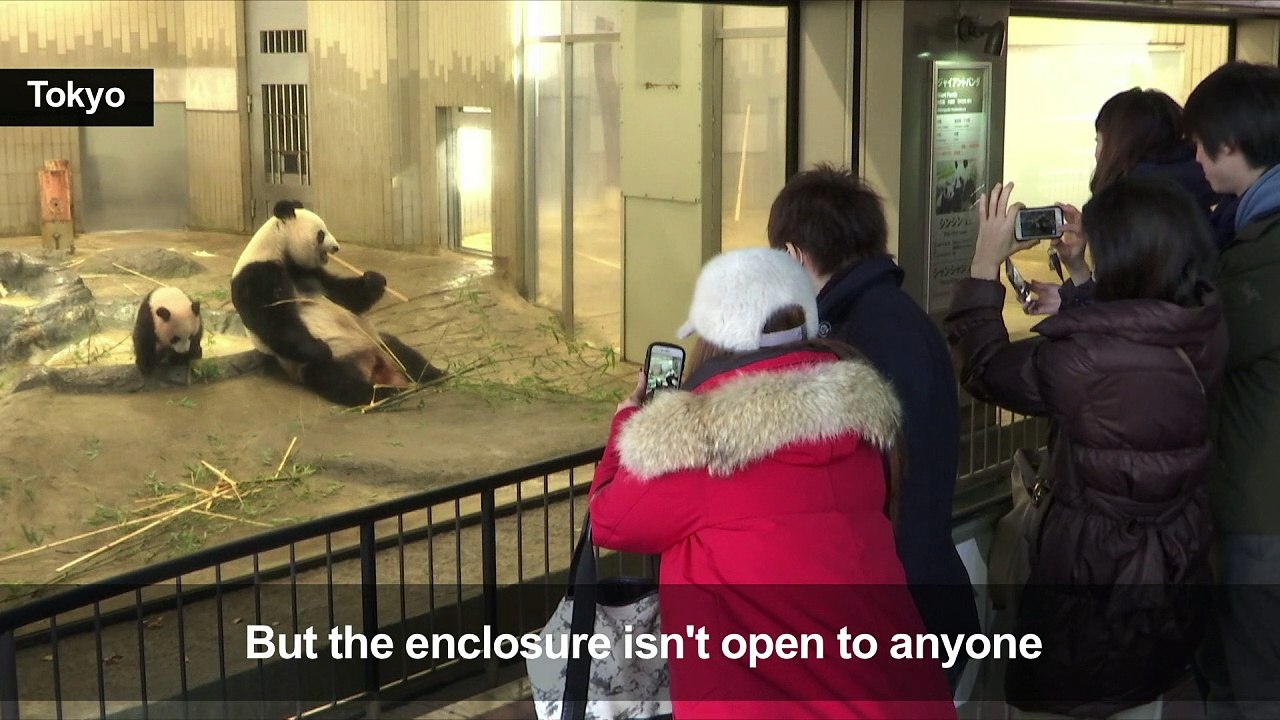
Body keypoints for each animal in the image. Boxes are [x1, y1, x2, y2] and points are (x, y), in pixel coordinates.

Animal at [230, 200, 443, 406]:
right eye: (320, 234)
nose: (336, 248)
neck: (276, 249)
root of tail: (373, 365)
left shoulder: (310, 273)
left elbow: (342, 296)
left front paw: (374, 281)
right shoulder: (256, 277)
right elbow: (275, 322)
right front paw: (320, 348)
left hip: (379, 343)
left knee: (403, 353)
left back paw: (435, 375)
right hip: (318, 364)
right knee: (336, 380)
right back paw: (383, 393)